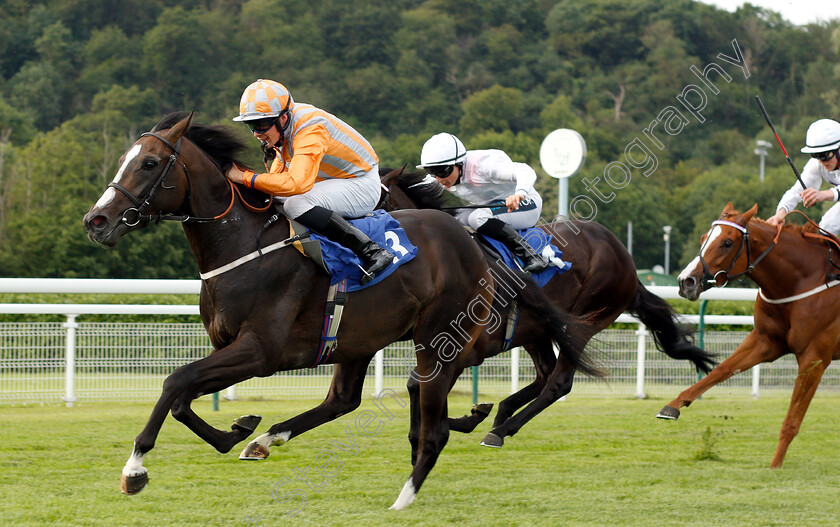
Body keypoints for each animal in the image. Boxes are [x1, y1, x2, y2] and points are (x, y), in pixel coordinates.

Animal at [82, 112, 596, 512]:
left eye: (149, 163)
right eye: (127, 160)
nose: (96, 220)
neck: (244, 245)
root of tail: (469, 241)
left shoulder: (259, 351)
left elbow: (175, 382)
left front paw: (134, 470)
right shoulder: (232, 347)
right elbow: (184, 397)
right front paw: (238, 429)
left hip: (439, 341)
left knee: (433, 417)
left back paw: (408, 493)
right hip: (360, 340)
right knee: (347, 400)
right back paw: (269, 439)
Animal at [380, 168, 716, 446]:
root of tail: (626, 260)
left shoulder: (467, 349)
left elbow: (419, 385)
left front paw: (451, 424)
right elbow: (421, 387)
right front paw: (467, 416)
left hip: (583, 322)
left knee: (558, 382)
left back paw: (500, 430)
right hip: (536, 329)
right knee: (544, 374)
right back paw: (501, 415)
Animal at [660, 204, 840, 468]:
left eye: (726, 242)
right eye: (703, 238)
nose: (686, 281)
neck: (802, 280)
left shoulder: (814, 357)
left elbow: (792, 419)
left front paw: (775, 464)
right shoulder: (765, 341)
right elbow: (722, 369)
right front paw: (674, 406)